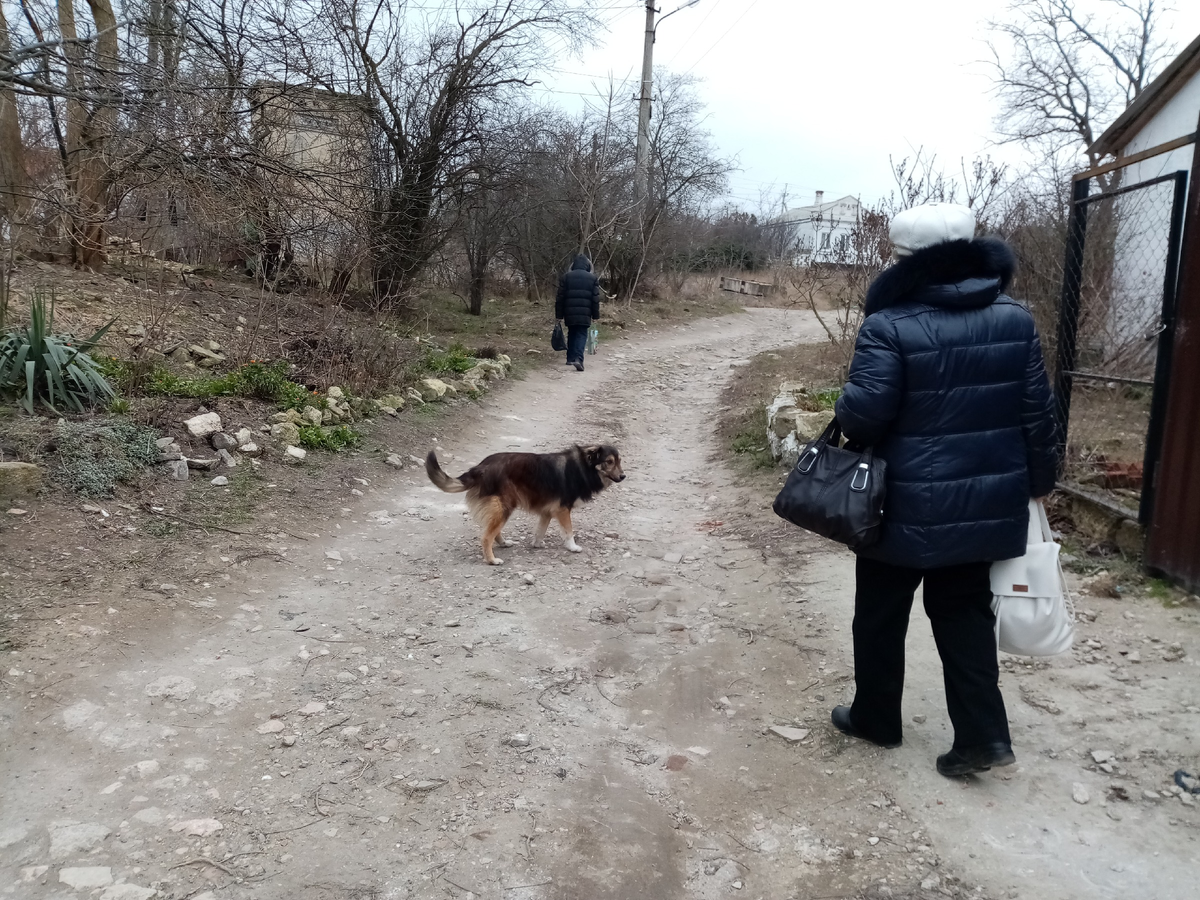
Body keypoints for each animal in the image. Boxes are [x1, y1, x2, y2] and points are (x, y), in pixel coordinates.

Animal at [424, 444, 628, 564]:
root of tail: (481, 467)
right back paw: (492, 560)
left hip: (502, 508)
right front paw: (573, 547)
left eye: (619, 461)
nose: (623, 476)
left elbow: (540, 530)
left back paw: (504, 543)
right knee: (486, 537)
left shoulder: (548, 511)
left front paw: (537, 544)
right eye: (609, 462)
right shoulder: (562, 509)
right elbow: (569, 531)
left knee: (493, 531)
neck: (584, 466)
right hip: (504, 506)